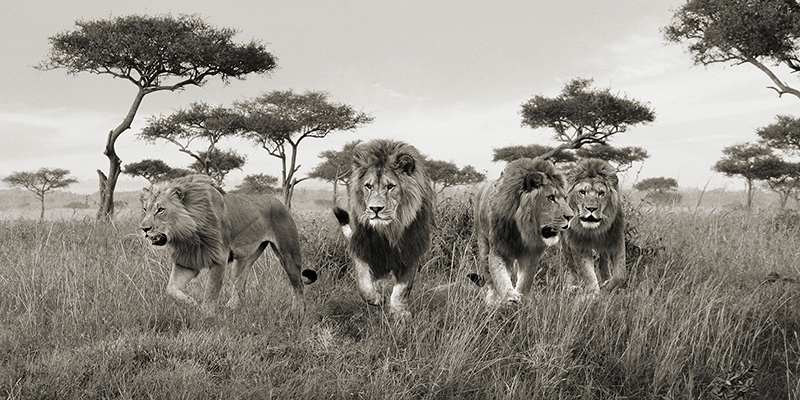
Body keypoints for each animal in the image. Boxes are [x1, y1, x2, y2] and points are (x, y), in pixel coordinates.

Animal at [330, 139, 434, 320]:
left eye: (391, 186)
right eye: (368, 186)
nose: (375, 209)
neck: (389, 230)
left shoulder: (410, 252)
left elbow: (402, 289)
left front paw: (399, 313)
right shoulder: (363, 246)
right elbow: (363, 280)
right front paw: (376, 298)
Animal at [468, 158, 576, 304]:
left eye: (565, 198)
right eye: (550, 198)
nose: (571, 217)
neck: (522, 229)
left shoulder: (532, 252)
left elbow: (526, 279)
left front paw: (522, 298)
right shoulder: (498, 248)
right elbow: (499, 275)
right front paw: (510, 297)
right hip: (483, 241)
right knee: (488, 274)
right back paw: (492, 299)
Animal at [560, 158, 628, 292]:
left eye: (601, 193)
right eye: (582, 192)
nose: (591, 208)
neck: (594, 230)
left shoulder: (616, 239)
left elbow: (620, 274)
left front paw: (607, 286)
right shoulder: (578, 243)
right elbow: (587, 273)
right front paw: (593, 293)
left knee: (604, 261)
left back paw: (606, 278)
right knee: (570, 263)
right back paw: (573, 285)